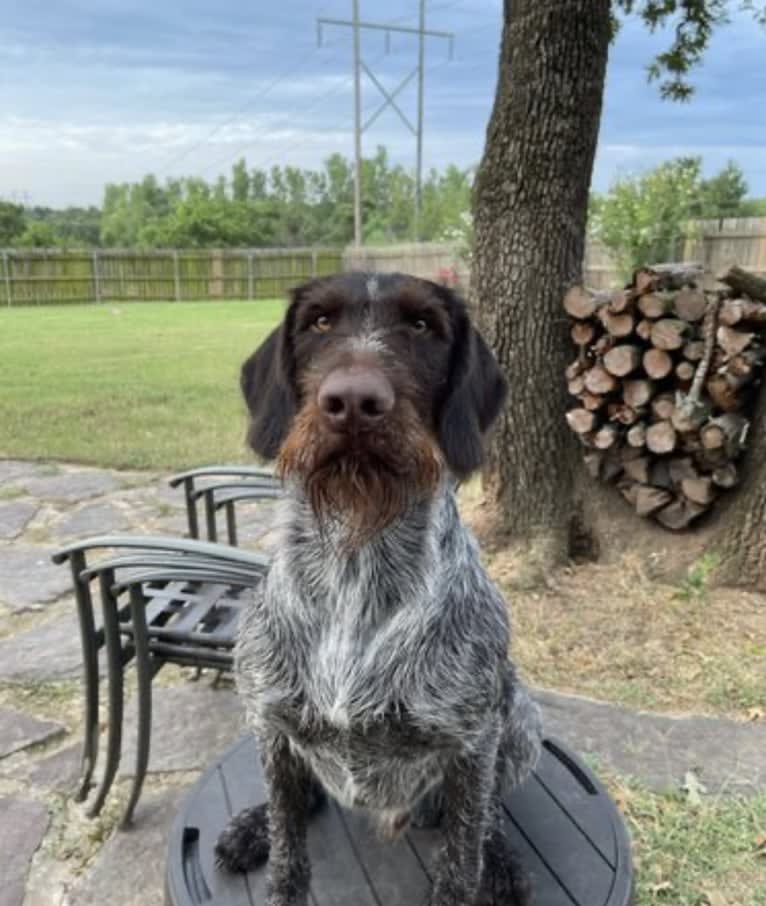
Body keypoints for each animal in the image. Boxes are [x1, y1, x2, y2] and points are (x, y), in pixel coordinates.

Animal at [213, 274, 544, 904]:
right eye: (318, 323)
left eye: (423, 326)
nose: (353, 403)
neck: (355, 565)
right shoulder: (270, 722)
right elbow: (288, 851)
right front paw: (270, 841)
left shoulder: (472, 741)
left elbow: (461, 861)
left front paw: (480, 865)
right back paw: (251, 826)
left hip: (519, 720)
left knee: (490, 810)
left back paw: (500, 858)